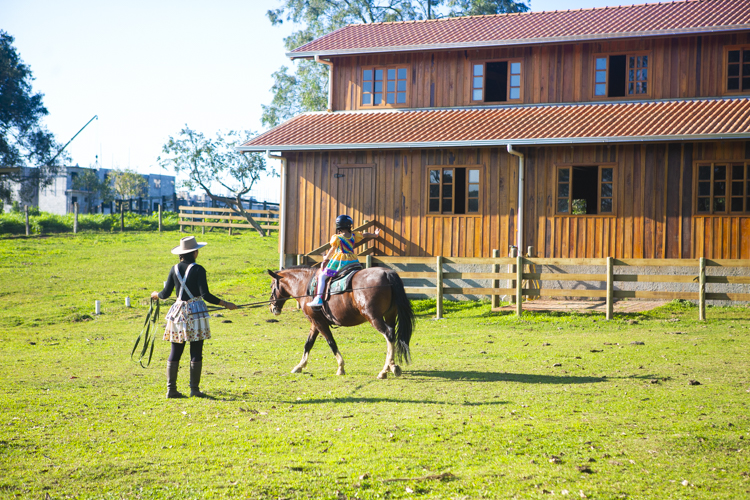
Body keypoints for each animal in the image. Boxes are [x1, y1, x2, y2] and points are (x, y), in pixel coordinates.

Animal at [266, 266, 415, 379]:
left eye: (272, 285)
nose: (272, 308)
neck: (306, 285)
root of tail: (386, 273)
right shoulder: (315, 322)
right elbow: (308, 344)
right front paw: (299, 366)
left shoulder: (319, 323)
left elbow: (331, 343)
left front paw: (341, 367)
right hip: (390, 316)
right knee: (392, 337)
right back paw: (392, 366)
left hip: (374, 318)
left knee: (388, 334)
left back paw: (384, 371)